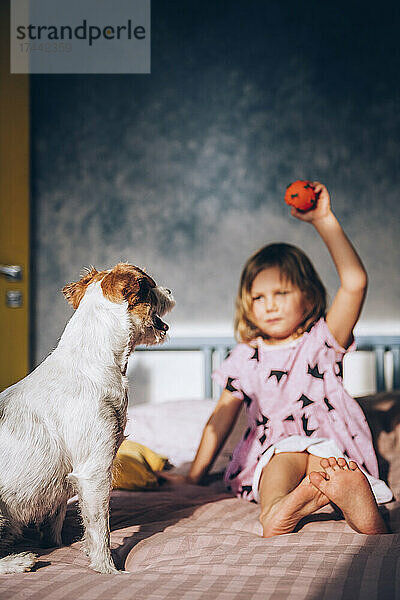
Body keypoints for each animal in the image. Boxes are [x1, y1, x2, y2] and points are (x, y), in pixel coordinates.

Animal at [0, 262, 175, 572]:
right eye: (152, 287)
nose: (170, 290)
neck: (94, 360)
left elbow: (56, 520)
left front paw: (58, 544)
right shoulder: (94, 471)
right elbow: (99, 528)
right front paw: (107, 569)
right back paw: (18, 562)